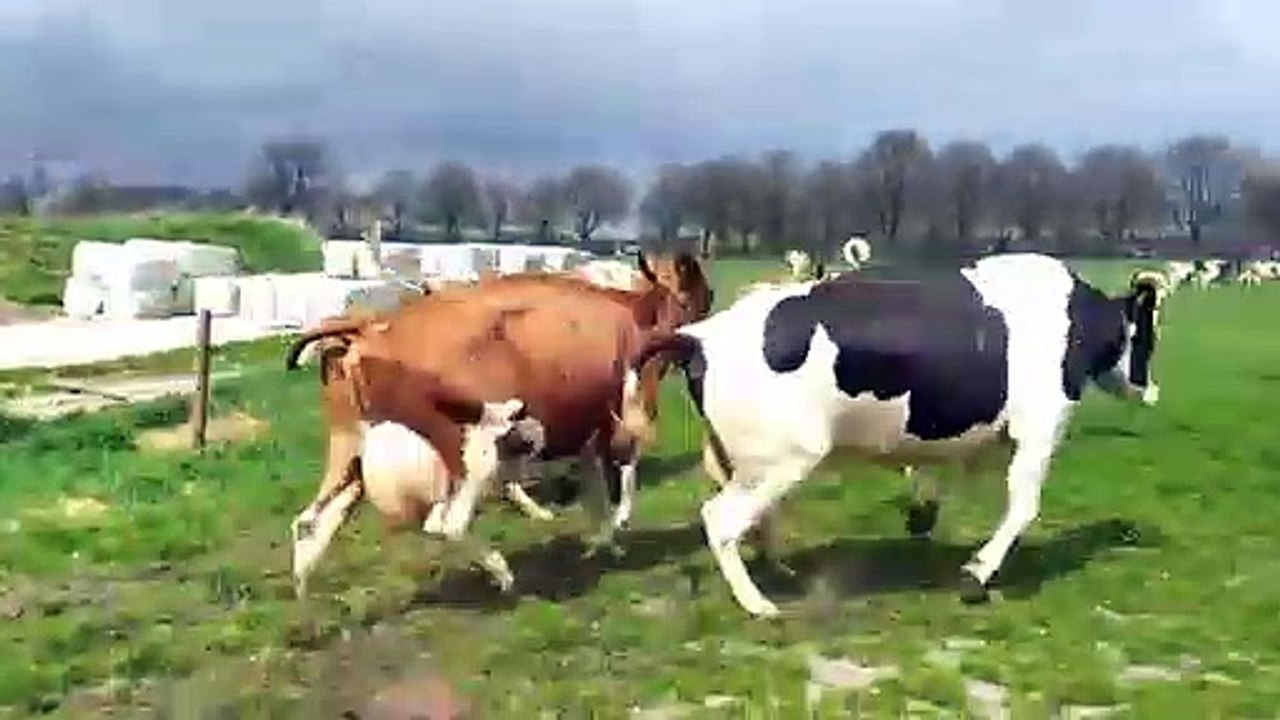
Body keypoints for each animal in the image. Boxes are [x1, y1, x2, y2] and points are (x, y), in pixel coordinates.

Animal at [285, 254, 709, 597]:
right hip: (471, 451)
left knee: (311, 521)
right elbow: (624, 481)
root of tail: (368, 331)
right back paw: (503, 573)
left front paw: (604, 544)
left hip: (351, 455)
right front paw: (615, 530)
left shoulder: (587, 431)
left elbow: (595, 494)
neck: (634, 312)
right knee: (447, 523)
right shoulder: (626, 420)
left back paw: (304, 596)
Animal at [620, 253, 1164, 618]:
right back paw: (758, 605)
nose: (1152, 389)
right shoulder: (1040, 427)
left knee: (754, 518)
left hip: (749, 462)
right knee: (721, 520)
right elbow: (1023, 507)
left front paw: (922, 515)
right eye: (1149, 335)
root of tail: (699, 337)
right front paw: (975, 574)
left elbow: (931, 476)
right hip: (785, 458)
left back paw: (779, 573)